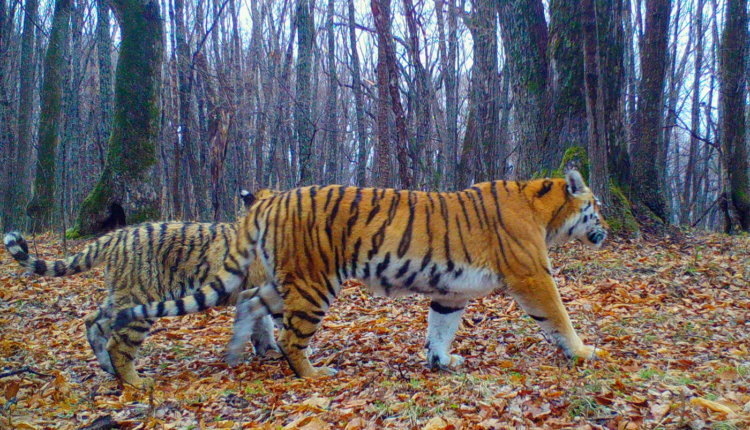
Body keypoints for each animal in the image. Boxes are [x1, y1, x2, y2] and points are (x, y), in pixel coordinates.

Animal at [3, 188, 280, 390]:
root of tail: (115, 236)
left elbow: (261, 324)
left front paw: (267, 351)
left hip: (122, 295)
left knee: (94, 321)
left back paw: (108, 368)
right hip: (141, 298)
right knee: (118, 343)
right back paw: (136, 382)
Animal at [114, 171, 612, 380]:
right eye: (596, 206)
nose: (606, 227)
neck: (546, 211)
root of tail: (271, 200)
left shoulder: (452, 290)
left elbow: (440, 327)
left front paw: (440, 362)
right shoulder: (532, 276)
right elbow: (558, 316)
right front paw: (583, 351)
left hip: (284, 281)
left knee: (250, 302)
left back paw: (236, 353)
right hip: (314, 285)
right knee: (291, 336)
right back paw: (313, 374)